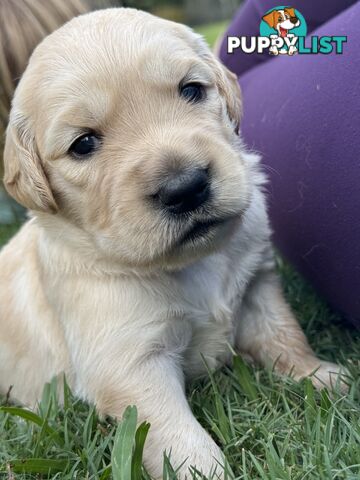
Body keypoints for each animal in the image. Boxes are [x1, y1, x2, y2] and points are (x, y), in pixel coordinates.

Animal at [0, 8, 346, 480]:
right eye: (83, 144)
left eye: (192, 90)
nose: (185, 188)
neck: (190, 262)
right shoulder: (130, 364)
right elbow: (180, 437)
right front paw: (210, 472)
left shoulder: (258, 285)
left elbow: (284, 335)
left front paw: (320, 376)